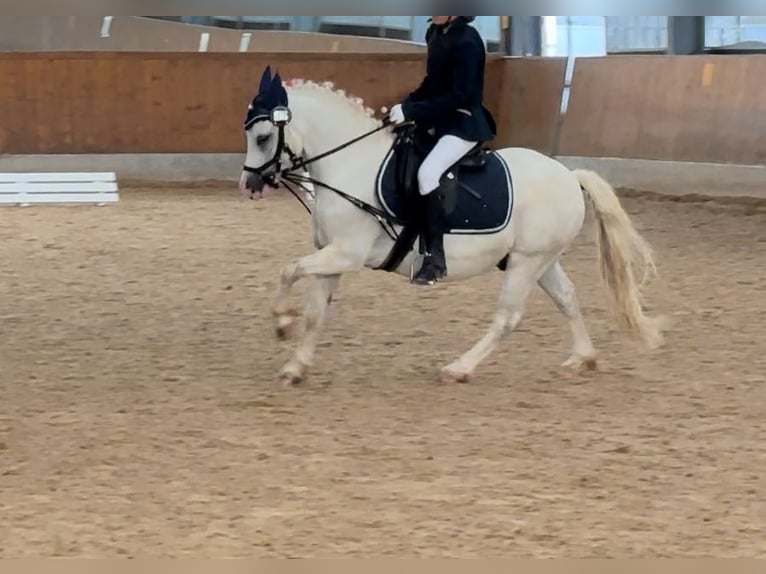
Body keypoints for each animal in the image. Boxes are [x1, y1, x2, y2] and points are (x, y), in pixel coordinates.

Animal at [240, 70, 664, 390]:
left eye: (262, 137)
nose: (249, 184)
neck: (350, 164)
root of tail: (569, 176)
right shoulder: (332, 256)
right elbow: (314, 312)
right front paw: (296, 366)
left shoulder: (347, 253)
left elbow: (289, 270)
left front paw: (282, 324)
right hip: (540, 260)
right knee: (567, 298)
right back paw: (582, 358)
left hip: (527, 262)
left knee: (508, 318)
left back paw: (458, 368)